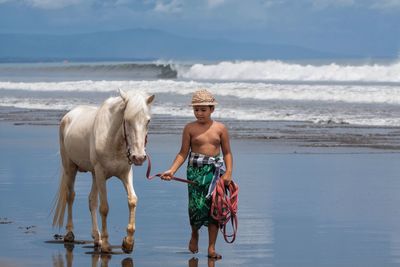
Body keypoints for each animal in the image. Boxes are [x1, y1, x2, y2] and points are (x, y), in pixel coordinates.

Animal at [52, 89, 155, 253]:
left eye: (148, 121)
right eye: (127, 120)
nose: (139, 157)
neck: (113, 140)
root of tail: (68, 116)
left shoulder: (125, 173)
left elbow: (132, 200)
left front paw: (128, 242)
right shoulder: (101, 173)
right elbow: (104, 208)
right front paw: (106, 244)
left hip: (94, 175)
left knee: (91, 200)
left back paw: (96, 238)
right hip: (70, 168)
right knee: (70, 196)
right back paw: (70, 233)